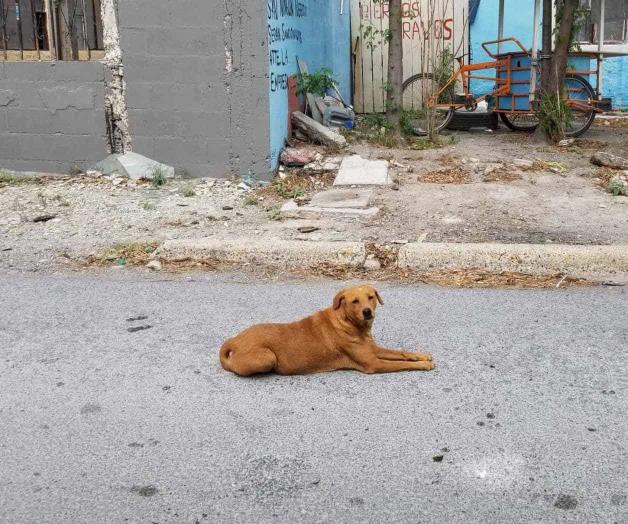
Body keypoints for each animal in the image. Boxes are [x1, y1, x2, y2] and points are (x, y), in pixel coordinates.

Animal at [218, 286, 434, 376]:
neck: (348, 323)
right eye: (355, 301)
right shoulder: (373, 363)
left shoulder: (373, 350)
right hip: (267, 358)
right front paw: (423, 365)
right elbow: (401, 364)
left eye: (371, 297)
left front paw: (421, 356)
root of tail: (235, 340)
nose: (367, 312)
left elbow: (402, 353)